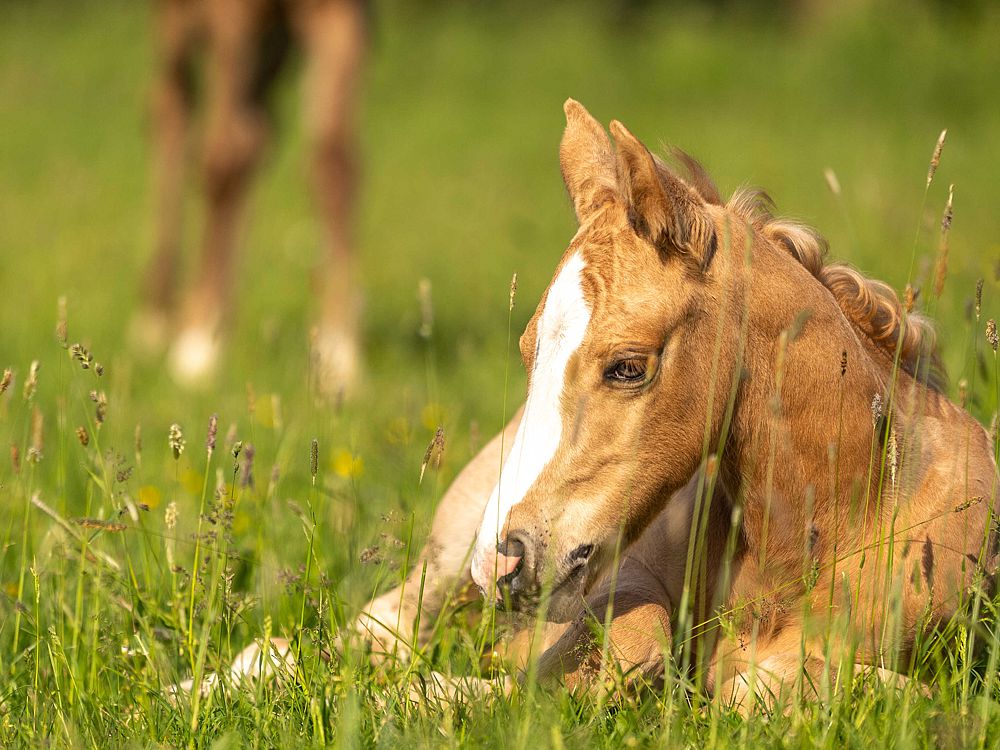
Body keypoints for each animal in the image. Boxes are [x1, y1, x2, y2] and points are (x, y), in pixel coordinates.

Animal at [135, 0, 366, 394]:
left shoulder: (344, 11)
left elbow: (335, 162)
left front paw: (340, 356)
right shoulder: (230, 14)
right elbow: (225, 155)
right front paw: (197, 347)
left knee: (259, 127)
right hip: (176, 24)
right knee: (172, 106)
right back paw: (157, 318)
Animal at [356, 103, 996, 712]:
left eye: (628, 366)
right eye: (526, 350)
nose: (503, 562)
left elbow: (780, 684)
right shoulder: (618, 578)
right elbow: (629, 647)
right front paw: (426, 695)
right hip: (450, 550)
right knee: (384, 620)